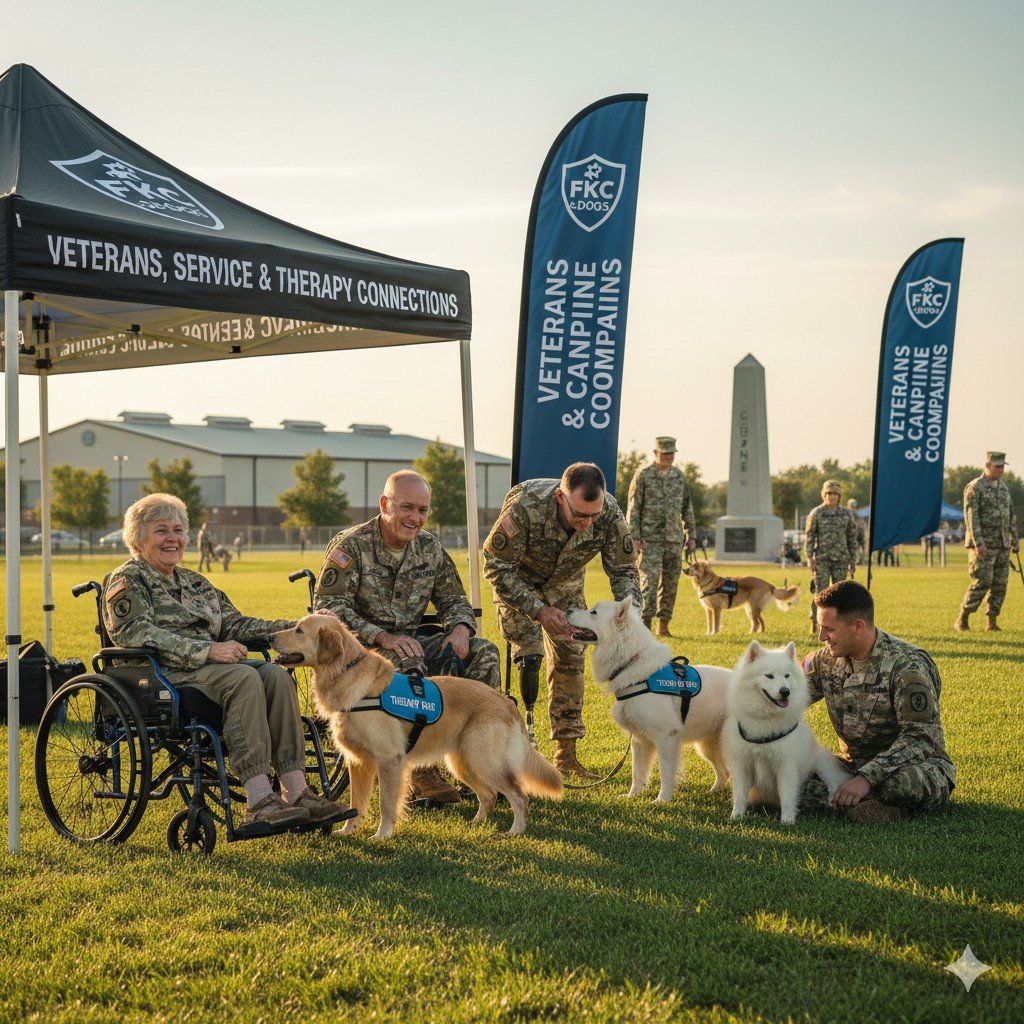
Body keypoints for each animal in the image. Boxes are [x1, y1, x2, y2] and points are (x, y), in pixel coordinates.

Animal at [272, 615, 562, 838]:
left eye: (299, 630)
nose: (271, 636)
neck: (347, 674)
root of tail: (506, 701)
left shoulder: (389, 760)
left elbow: (386, 803)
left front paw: (382, 835)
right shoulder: (358, 762)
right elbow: (357, 803)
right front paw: (347, 831)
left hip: (483, 760)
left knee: (519, 795)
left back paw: (515, 831)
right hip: (463, 762)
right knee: (489, 795)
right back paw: (476, 824)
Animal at [566, 597, 731, 801]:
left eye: (593, 612)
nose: (567, 610)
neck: (631, 660)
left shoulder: (666, 737)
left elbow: (665, 772)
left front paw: (662, 800)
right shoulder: (639, 740)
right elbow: (638, 772)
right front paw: (632, 796)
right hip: (707, 746)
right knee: (724, 773)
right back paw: (713, 792)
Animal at [722, 641, 850, 824]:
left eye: (787, 676)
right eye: (769, 676)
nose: (785, 691)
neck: (766, 719)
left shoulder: (786, 766)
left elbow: (787, 796)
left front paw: (787, 821)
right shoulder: (742, 764)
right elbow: (739, 795)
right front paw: (736, 817)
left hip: (820, 761)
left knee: (834, 778)